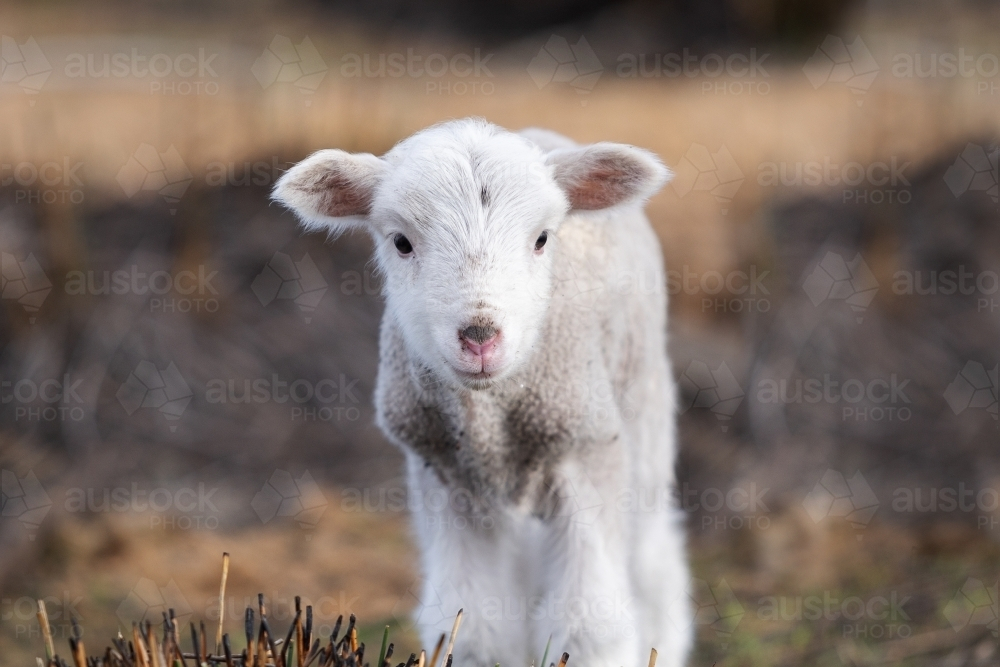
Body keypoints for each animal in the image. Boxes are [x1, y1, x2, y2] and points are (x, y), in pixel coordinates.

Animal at [276, 120, 696, 667]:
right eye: (401, 243)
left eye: (542, 239)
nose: (479, 337)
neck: (489, 419)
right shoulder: (445, 474)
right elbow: (471, 624)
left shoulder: (584, 453)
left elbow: (589, 627)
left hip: (639, 403)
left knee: (651, 559)